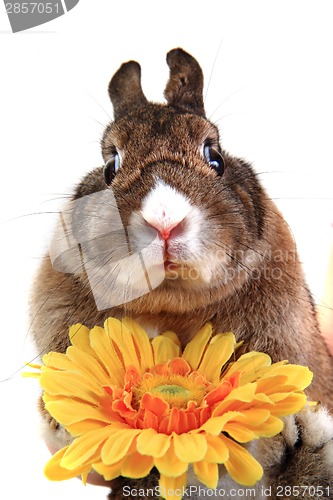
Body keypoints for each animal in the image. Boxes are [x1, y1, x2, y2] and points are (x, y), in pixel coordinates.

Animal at [30, 48, 332, 498]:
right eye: (110, 166)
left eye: (215, 157)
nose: (165, 221)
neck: (171, 304)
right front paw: (60, 423)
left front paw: (284, 429)